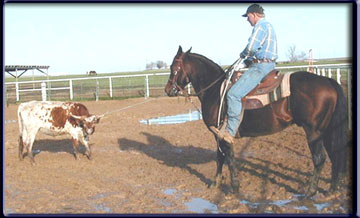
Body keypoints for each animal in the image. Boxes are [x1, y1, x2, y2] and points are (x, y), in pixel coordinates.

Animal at [166, 45, 348, 197]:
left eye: (173, 67)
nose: (168, 90)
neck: (216, 91)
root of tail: (328, 81)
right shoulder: (219, 133)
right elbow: (220, 157)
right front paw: (216, 183)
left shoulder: (222, 133)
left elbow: (227, 157)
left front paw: (234, 187)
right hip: (327, 130)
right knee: (335, 155)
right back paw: (332, 189)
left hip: (313, 132)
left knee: (319, 158)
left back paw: (310, 192)